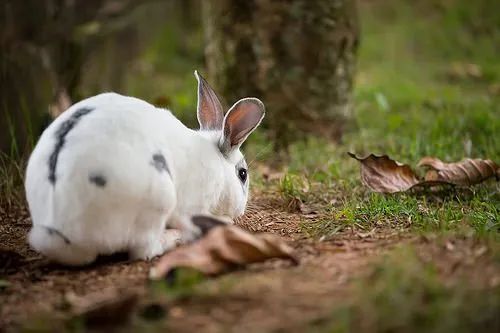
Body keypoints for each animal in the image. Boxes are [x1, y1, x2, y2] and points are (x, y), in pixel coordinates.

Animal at [25, 71, 266, 266]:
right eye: (242, 174)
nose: (241, 209)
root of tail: (63, 235)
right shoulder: (191, 205)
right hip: (159, 199)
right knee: (145, 249)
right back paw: (176, 238)